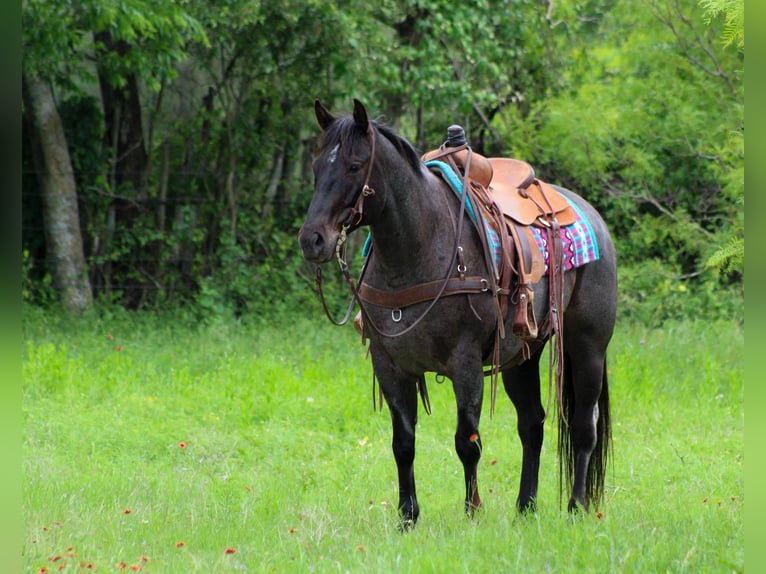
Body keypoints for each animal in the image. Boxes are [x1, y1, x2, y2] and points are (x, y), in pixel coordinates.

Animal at [298, 99, 617, 527]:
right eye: (317, 166)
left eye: (353, 165)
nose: (312, 239)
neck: (419, 247)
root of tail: (589, 214)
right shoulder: (389, 365)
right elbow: (403, 443)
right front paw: (407, 517)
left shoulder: (465, 364)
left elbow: (467, 442)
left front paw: (472, 513)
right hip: (521, 356)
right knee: (532, 425)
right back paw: (525, 508)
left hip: (587, 347)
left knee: (584, 427)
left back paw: (576, 508)